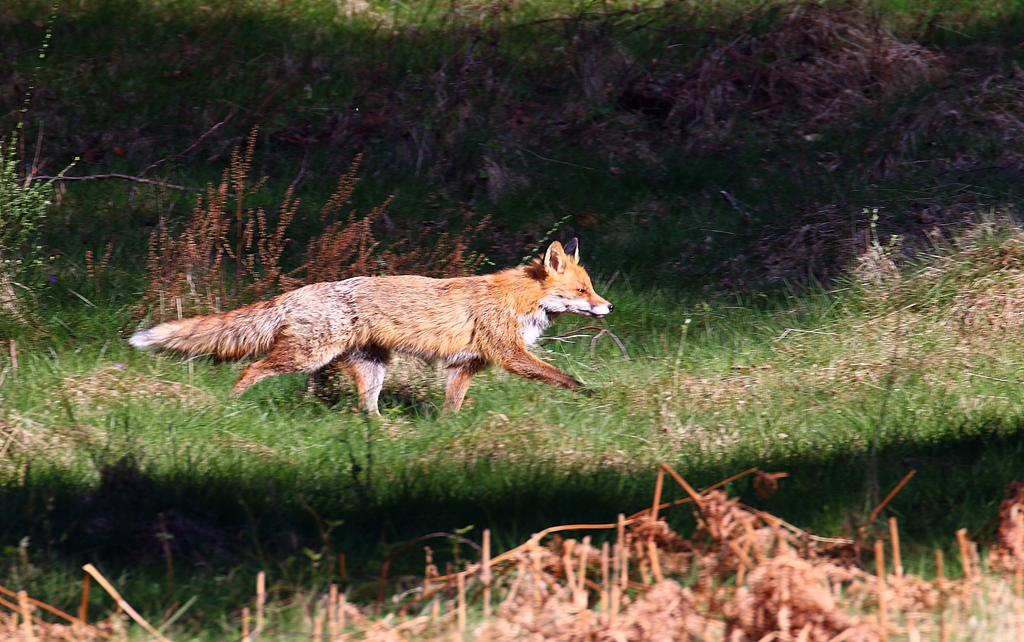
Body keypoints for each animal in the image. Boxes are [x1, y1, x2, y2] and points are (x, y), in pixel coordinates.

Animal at [126, 238, 606, 413]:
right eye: (583, 291)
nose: (610, 306)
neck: (518, 300)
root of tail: (300, 291)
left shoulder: (464, 365)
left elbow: (452, 405)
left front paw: (446, 429)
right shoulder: (508, 354)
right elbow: (562, 377)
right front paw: (592, 395)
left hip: (372, 367)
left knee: (365, 407)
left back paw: (385, 434)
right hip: (307, 356)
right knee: (252, 368)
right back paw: (230, 404)